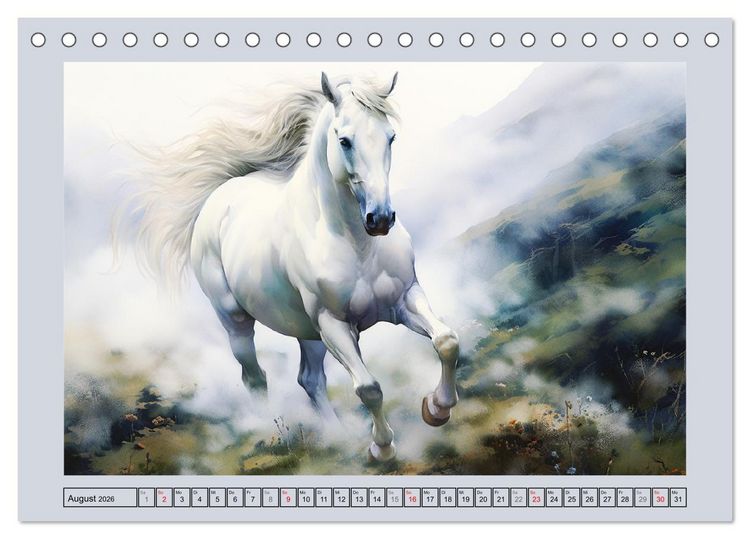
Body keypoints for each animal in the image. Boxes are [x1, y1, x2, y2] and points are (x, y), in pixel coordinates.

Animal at [122, 73, 459, 461]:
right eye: (344, 141)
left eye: (391, 137)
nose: (380, 219)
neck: (356, 246)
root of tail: (223, 192)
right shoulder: (334, 324)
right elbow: (369, 387)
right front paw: (382, 448)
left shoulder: (405, 299)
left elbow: (446, 341)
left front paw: (436, 409)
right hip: (238, 322)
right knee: (255, 378)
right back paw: (272, 434)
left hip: (307, 332)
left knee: (309, 380)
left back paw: (337, 437)